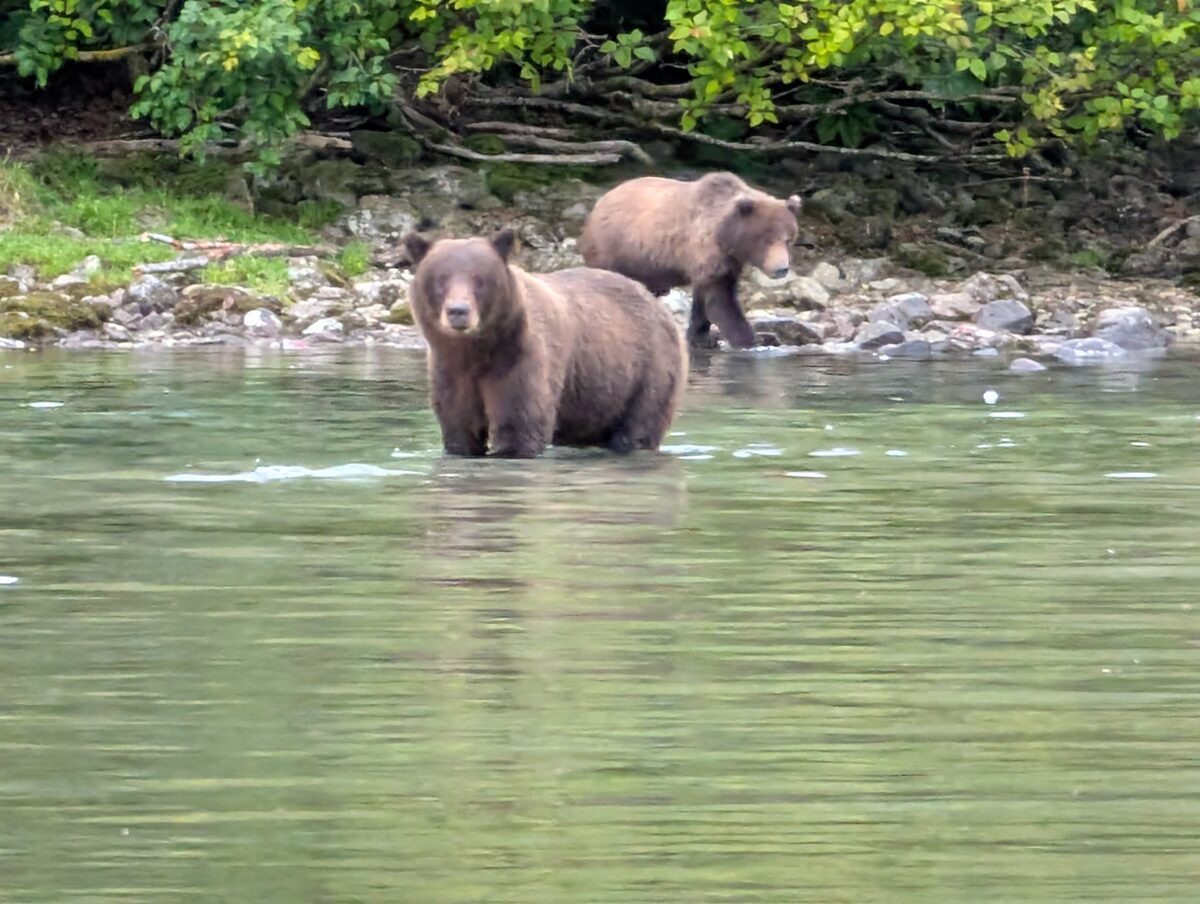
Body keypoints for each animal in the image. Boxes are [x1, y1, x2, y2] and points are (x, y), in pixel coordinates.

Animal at [404, 227, 687, 458]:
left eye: (479, 278)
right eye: (441, 278)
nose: (458, 311)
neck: (477, 350)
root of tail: (659, 306)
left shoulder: (518, 358)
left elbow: (519, 423)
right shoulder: (450, 368)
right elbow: (459, 427)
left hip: (650, 370)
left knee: (639, 426)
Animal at [578, 171, 802, 349]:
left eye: (788, 239)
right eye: (765, 239)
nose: (781, 268)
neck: (726, 236)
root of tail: (599, 203)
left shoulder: (724, 261)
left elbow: (704, 300)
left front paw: (700, 337)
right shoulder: (706, 250)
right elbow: (720, 301)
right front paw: (751, 341)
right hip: (613, 250)